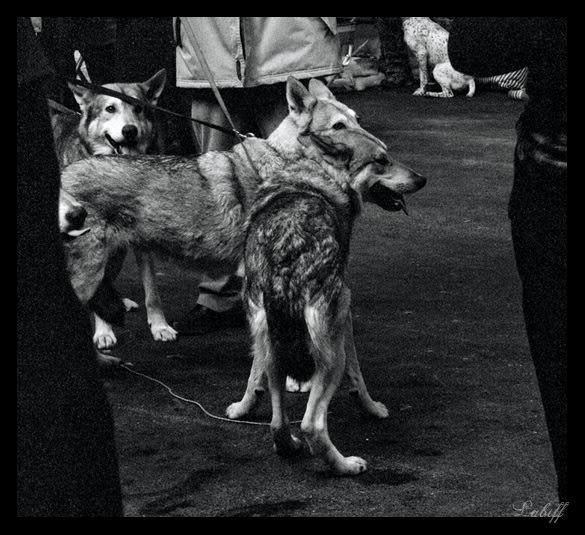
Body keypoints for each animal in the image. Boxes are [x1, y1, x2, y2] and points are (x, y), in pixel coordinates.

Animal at [50, 68, 177, 352]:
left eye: (138, 108)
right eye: (110, 108)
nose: (130, 131)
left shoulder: (142, 240)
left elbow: (153, 291)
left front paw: (160, 326)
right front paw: (103, 331)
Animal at [225, 80, 424, 478]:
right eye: (382, 160)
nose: (422, 180)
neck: (316, 171)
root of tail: (284, 266)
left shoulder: (262, 344)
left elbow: (253, 376)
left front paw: (243, 406)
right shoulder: (346, 315)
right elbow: (359, 376)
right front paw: (372, 408)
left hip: (271, 345)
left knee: (278, 422)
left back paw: (288, 446)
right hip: (331, 353)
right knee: (312, 424)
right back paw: (345, 465)